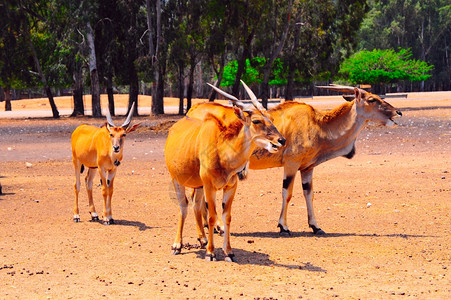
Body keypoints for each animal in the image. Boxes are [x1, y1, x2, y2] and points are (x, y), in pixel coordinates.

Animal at [166, 81, 286, 262]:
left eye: (271, 119)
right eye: (256, 121)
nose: (281, 140)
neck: (221, 150)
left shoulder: (230, 187)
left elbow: (226, 217)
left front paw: (228, 252)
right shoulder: (210, 186)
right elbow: (212, 216)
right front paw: (210, 253)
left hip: (199, 186)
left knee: (195, 204)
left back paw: (202, 239)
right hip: (177, 180)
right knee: (184, 206)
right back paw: (177, 246)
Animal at [187, 84, 402, 234]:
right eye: (372, 99)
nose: (397, 112)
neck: (317, 124)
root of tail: (191, 112)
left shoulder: (307, 168)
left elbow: (309, 193)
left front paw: (316, 226)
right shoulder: (291, 165)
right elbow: (287, 194)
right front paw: (283, 226)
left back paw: (208, 226)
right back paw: (217, 227)